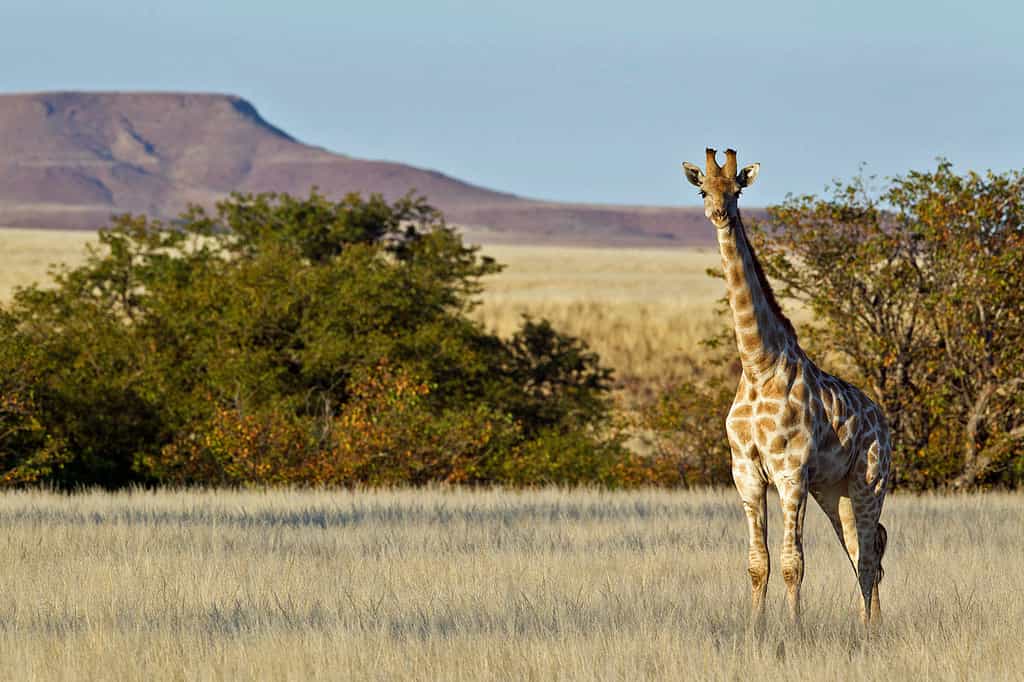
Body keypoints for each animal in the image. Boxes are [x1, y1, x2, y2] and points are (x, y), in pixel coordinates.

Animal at [681, 148, 891, 628]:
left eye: (736, 190)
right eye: (703, 190)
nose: (719, 214)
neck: (758, 365)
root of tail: (884, 422)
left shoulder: (791, 471)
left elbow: (794, 563)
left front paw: (795, 631)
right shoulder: (745, 473)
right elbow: (758, 563)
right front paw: (755, 630)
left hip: (870, 480)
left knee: (869, 556)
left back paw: (869, 630)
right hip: (834, 490)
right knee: (861, 551)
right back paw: (866, 625)